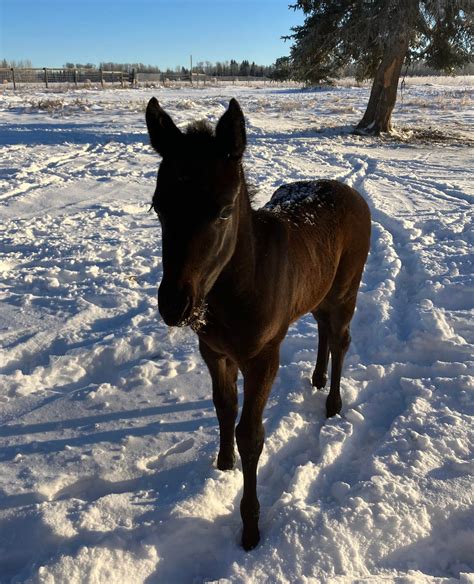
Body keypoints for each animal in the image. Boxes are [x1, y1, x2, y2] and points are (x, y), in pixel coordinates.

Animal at [144, 98, 370, 548]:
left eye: (223, 210)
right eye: (159, 206)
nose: (174, 305)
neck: (235, 290)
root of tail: (353, 193)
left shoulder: (263, 357)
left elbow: (251, 435)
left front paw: (250, 527)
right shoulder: (214, 351)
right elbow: (223, 408)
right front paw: (222, 463)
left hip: (345, 291)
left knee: (340, 338)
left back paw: (333, 404)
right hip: (317, 291)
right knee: (322, 327)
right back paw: (317, 378)